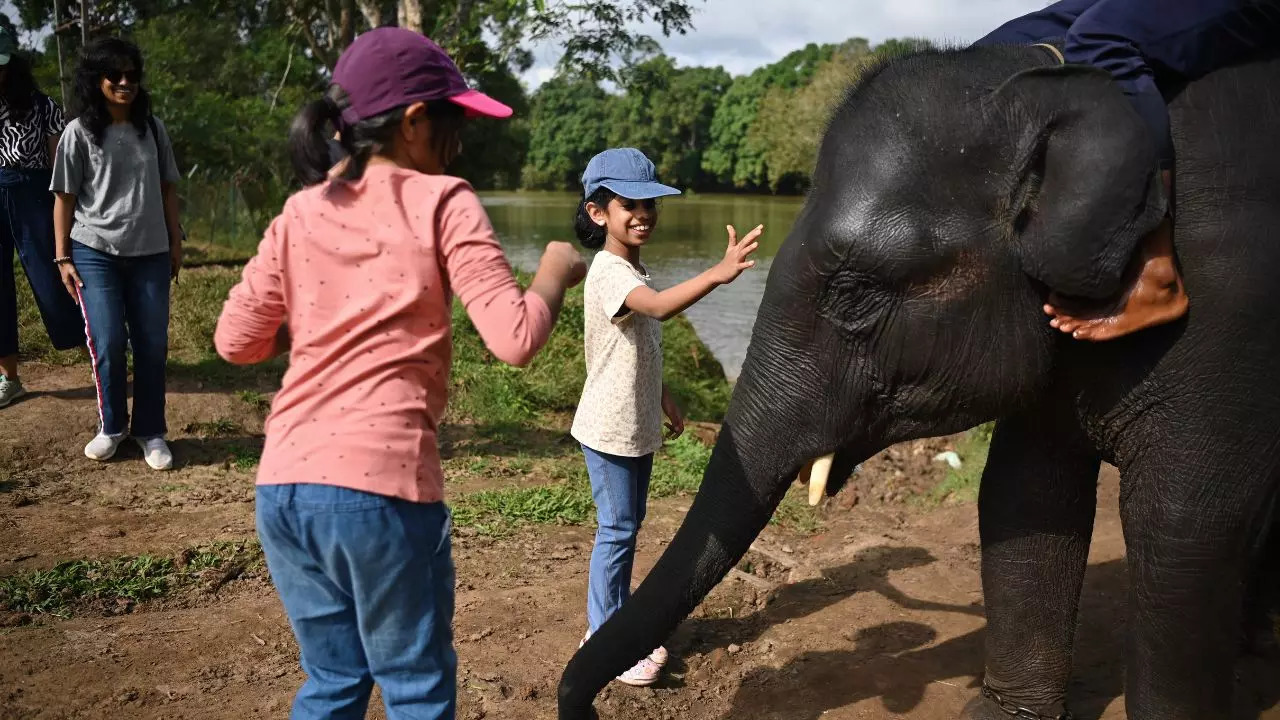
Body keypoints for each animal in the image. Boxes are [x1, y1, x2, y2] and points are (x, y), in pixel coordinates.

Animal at [558, 40, 1280, 717]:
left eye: (852, 295)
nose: (581, 704)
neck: (1045, 83)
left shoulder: (1232, 309)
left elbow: (1182, 521)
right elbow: (1025, 492)